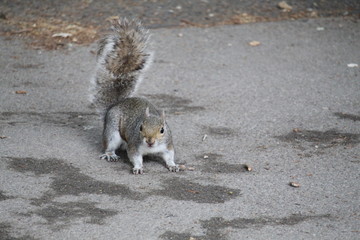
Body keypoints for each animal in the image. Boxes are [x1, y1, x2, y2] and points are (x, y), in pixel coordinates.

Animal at [90, 17, 179, 174]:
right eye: (140, 128)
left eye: (162, 130)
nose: (150, 141)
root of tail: (116, 104)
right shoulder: (134, 146)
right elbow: (135, 157)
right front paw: (138, 167)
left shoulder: (168, 145)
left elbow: (169, 156)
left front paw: (172, 165)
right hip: (112, 130)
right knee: (109, 144)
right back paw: (110, 154)